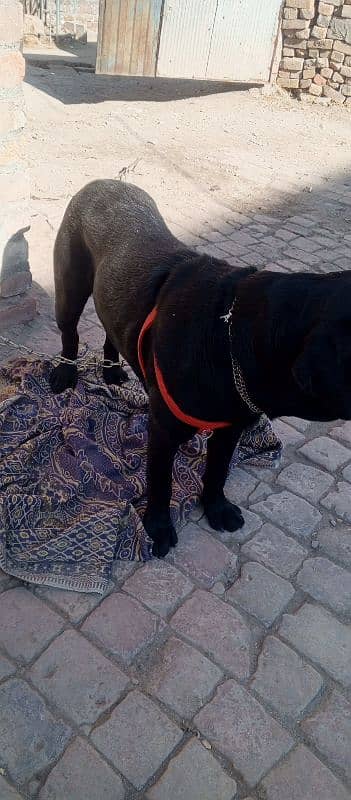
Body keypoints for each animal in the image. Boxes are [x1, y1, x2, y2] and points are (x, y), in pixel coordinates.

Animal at [50, 181, 351, 556]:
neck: (231, 336)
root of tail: (100, 183)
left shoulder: (231, 426)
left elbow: (217, 470)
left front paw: (216, 507)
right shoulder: (164, 431)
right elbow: (161, 483)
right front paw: (158, 528)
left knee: (110, 328)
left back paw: (112, 370)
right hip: (70, 289)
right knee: (70, 334)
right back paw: (66, 374)